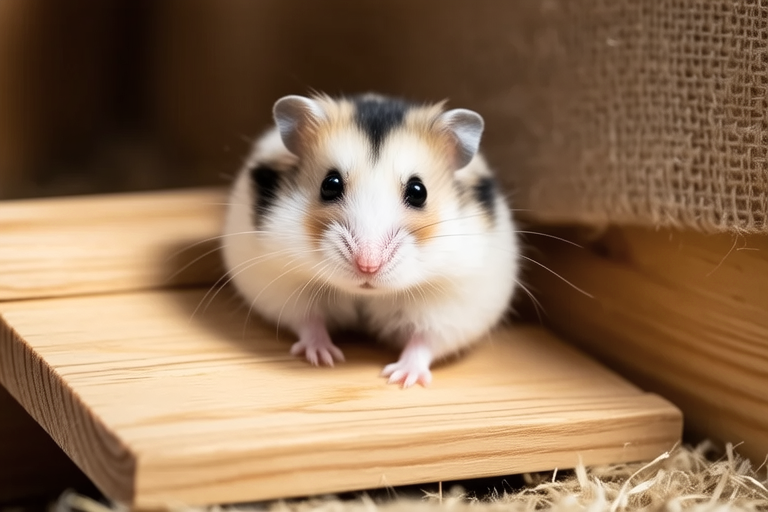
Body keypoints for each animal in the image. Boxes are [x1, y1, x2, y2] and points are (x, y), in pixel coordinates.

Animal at [221, 93, 519, 387]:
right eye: (330, 184)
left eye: (418, 191)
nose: (368, 267)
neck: (364, 294)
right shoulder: (282, 284)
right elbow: (308, 321)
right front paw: (325, 357)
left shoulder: (453, 303)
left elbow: (425, 341)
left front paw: (400, 378)